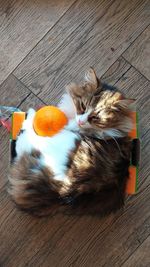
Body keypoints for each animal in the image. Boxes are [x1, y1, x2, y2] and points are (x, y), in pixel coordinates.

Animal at [8, 68, 134, 218]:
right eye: (83, 106)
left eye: (95, 118)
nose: (80, 121)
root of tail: (62, 193)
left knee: (23, 141)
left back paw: (30, 117)